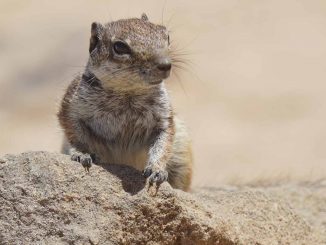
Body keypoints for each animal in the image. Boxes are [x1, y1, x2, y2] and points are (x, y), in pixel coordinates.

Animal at [57, 13, 192, 191]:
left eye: (166, 36)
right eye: (120, 47)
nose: (165, 64)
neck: (128, 93)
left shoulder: (164, 118)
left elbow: (163, 142)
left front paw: (156, 169)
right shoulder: (71, 106)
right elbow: (76, 133)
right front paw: (82, 153)